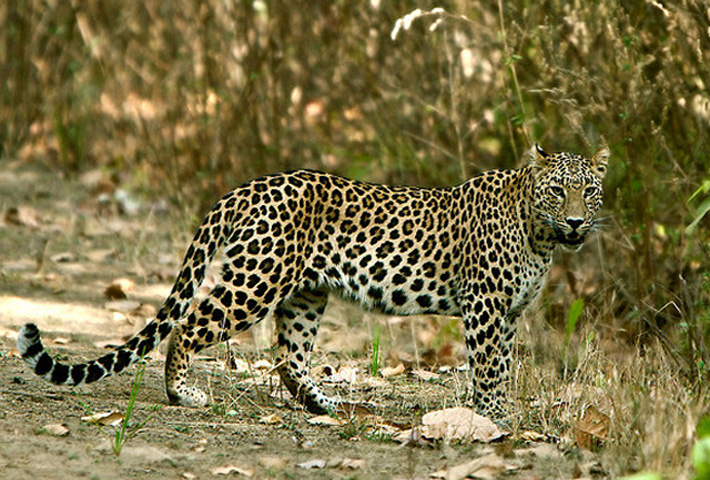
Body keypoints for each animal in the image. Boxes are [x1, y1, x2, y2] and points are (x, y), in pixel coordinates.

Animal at [16, 144, 608, 418]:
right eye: (558, 190)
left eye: (590, 191)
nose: (577, 221)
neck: (541, 235)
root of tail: (244, 188)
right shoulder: (485, 306)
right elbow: (487, 370)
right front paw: (494, 419)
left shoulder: (509, 314)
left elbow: (502, 367)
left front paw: (498, 414)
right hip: (256, 281)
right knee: (188, 325)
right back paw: (182, 393)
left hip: (305, 293)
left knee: (290, 358)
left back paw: (332, 406)